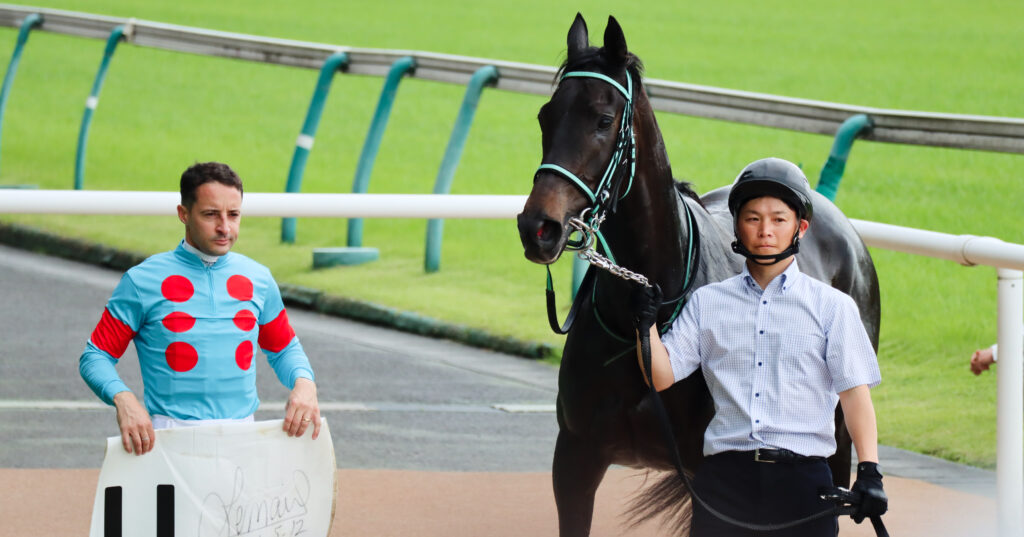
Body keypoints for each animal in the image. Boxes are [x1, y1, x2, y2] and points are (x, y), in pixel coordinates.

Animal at [516, 14, 881, 536]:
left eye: (603, 120)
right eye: (546, 116)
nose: (537, 227)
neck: (643, 316)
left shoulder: (707, 477)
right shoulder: (576, 457)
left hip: (834, 443)